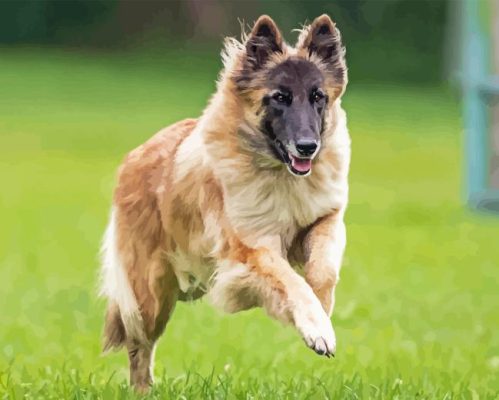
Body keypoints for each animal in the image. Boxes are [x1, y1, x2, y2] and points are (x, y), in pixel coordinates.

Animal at [99, 14, 350, 390]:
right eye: (280, 97)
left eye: (318, 97)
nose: (308, 147)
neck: (279, 174)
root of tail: (134, 156)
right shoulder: (253, 249)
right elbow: (290, 281)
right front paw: (316, 326)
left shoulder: (325, 218)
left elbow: (322, 271)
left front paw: (322, 312)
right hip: (151, 295)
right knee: (139, 347)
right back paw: (142, 391)